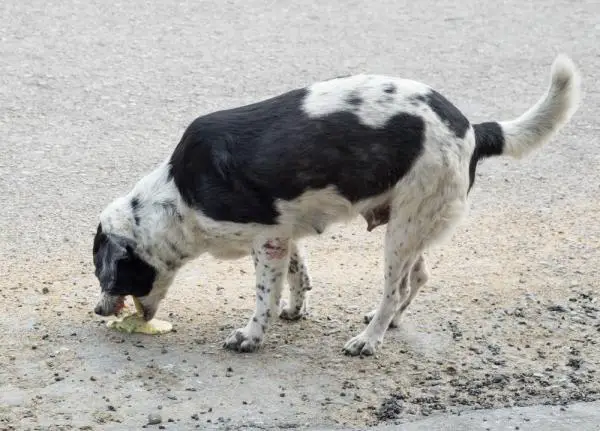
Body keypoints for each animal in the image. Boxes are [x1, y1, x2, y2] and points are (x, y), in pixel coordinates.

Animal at [94, 54, 580, 358]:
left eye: (106, 275)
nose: (98, 312)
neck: (178, 196)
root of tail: (472, 129)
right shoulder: (283, 234)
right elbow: (298, 275)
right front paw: (295, 310)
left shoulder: (266, 240)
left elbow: (264, 296)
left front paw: (252, 336)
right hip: (414, 224)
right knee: (418, 276)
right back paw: (389, 323)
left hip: (403, 230)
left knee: (395, 288)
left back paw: (369, 339)